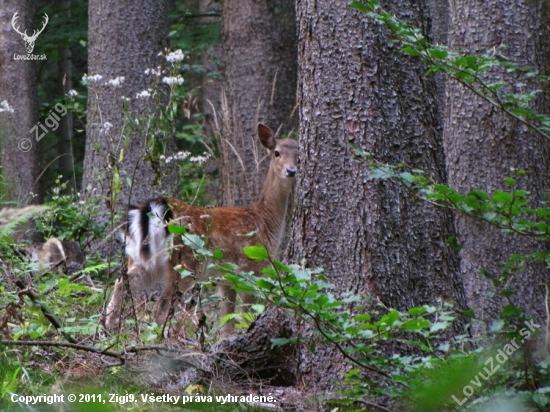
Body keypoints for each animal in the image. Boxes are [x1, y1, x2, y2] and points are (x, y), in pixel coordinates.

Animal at [105, 124, 300, 336]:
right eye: (277, 152)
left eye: (299, 154)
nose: (292, 170)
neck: (265, 220)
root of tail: (154, 209)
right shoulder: (251, 269)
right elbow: (244, 316)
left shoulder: (226, 279)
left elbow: (226, 321)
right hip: (184, 261)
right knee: (161, 307)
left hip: (138, 256)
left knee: (120, 283)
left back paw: (109, 328)